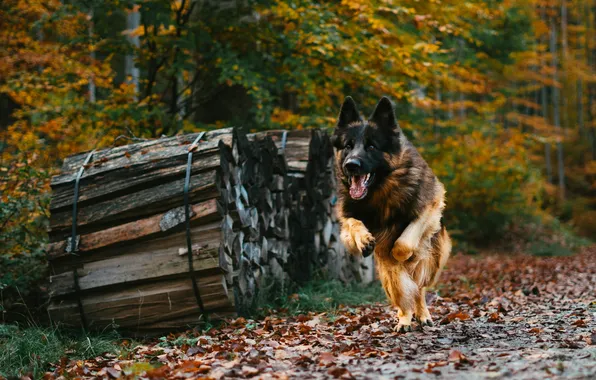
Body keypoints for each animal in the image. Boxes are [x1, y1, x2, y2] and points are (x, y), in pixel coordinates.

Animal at [330, 96, 452, 332]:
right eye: (348, 146)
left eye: (371, 146)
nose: (351, 165)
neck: (379, 192)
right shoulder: (346, 220)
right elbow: (353, 223)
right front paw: (364, 240)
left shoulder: (431, 205)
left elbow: (404, 241)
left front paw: (403, 253)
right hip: (387, 273)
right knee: (403, 294)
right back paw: (404, 319)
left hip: (430, 263)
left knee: (418, 289)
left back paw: (422, 314)